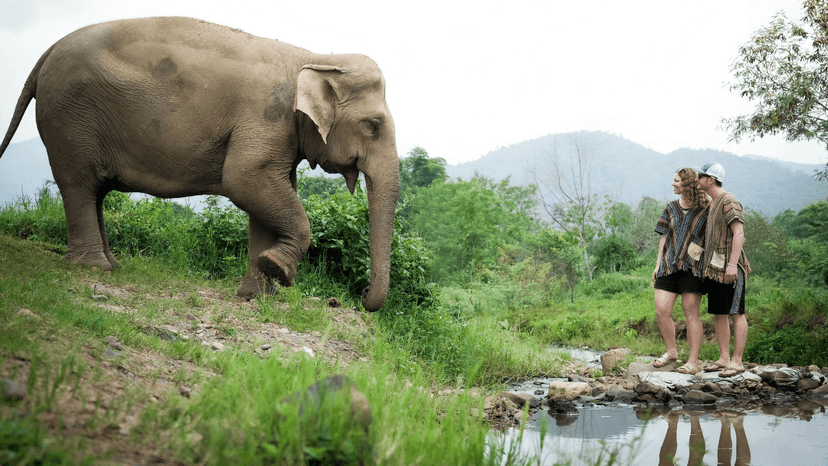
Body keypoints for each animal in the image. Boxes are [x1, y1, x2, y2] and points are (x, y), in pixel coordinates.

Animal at [0, 17, 400, 312]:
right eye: (372, 125)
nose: (360, 296)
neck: (315, 56)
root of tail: (47, 52)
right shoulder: (265, 117)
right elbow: (244, 180)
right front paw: (277, 270)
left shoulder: (279, 132)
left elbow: (265, 194)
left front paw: (257, 294)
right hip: (70, 116)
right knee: (80, 184)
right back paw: (93, 267)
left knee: (94, 190)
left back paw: (111, 265)